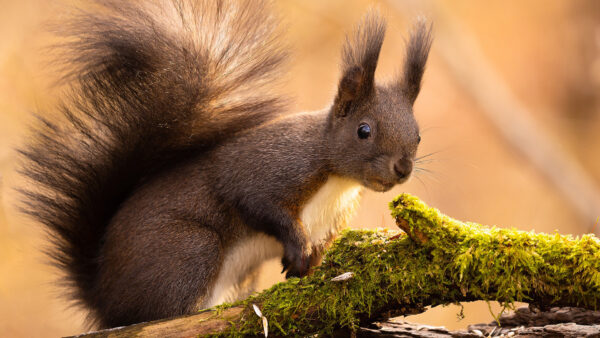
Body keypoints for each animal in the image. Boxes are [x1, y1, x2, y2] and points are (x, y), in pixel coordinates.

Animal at [18, 0, 432, 328]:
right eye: (364, 130)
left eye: (418, 135)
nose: (403, 168)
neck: (335, 180)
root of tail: (103, 295)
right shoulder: (267, 172)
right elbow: (262, 206)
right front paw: (297, 251)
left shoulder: (331, 220)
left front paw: (310, 264)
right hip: (190, 250)